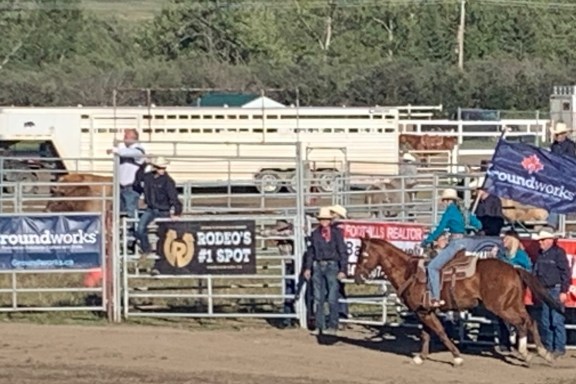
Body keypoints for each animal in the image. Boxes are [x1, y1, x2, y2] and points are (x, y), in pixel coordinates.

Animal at [354, 237, 560, 366]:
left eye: (363, 255)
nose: (357, 277)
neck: (408, 271)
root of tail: (514, 268)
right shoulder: (425, 311)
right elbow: (426, 334)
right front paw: (421, 357)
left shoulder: (423, 312)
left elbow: (440, 332)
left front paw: (457, 358)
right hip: (513, 304)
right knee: (530, 321)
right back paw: (544, 354)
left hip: (501, 307)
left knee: (521, 323)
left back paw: (527, 353)